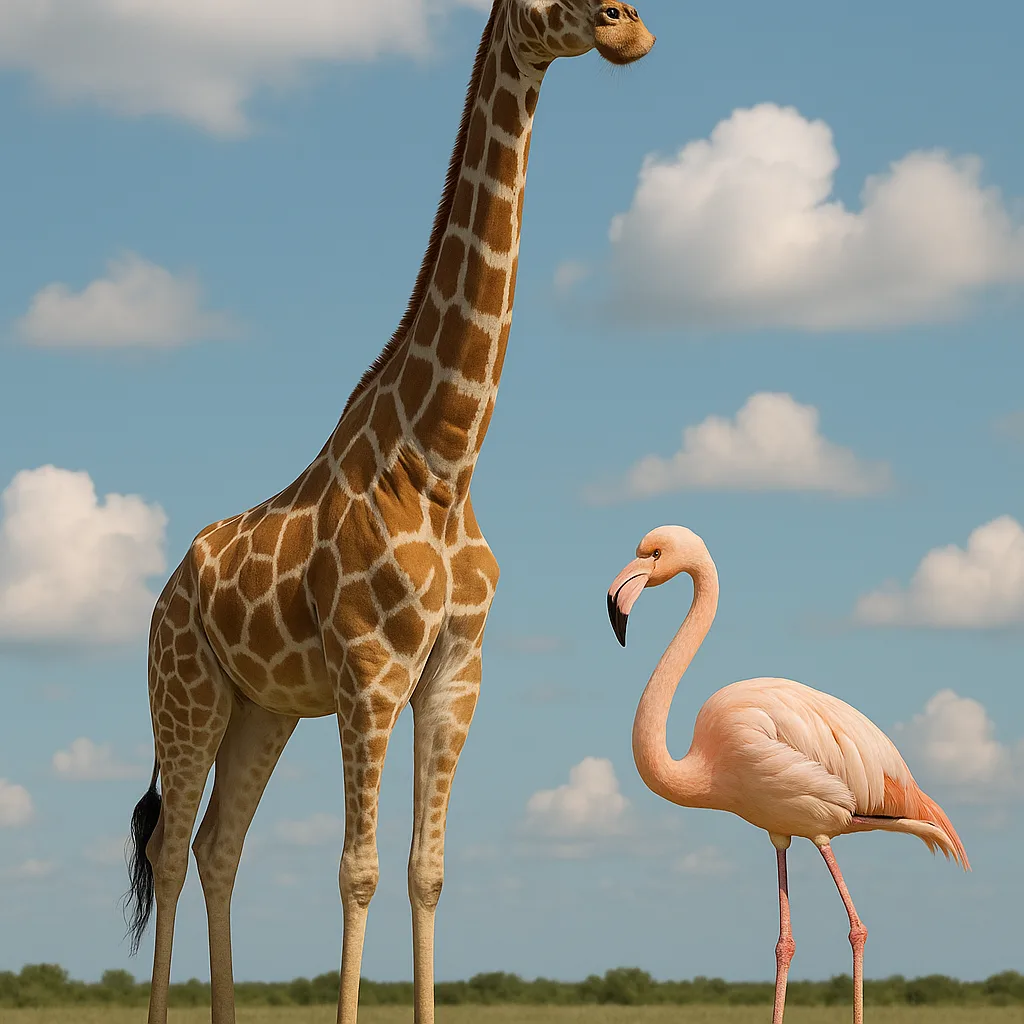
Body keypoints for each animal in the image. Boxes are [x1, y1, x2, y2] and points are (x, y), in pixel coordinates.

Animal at [125, 3, 655, 1023]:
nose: (629, 26)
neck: (442, 459)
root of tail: (167, 594)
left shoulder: (454, 672)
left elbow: (427, 870)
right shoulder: (371, 672)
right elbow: (359, 869)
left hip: (264, 709)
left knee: (218, 846)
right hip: (186, 691)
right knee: (169, 851)